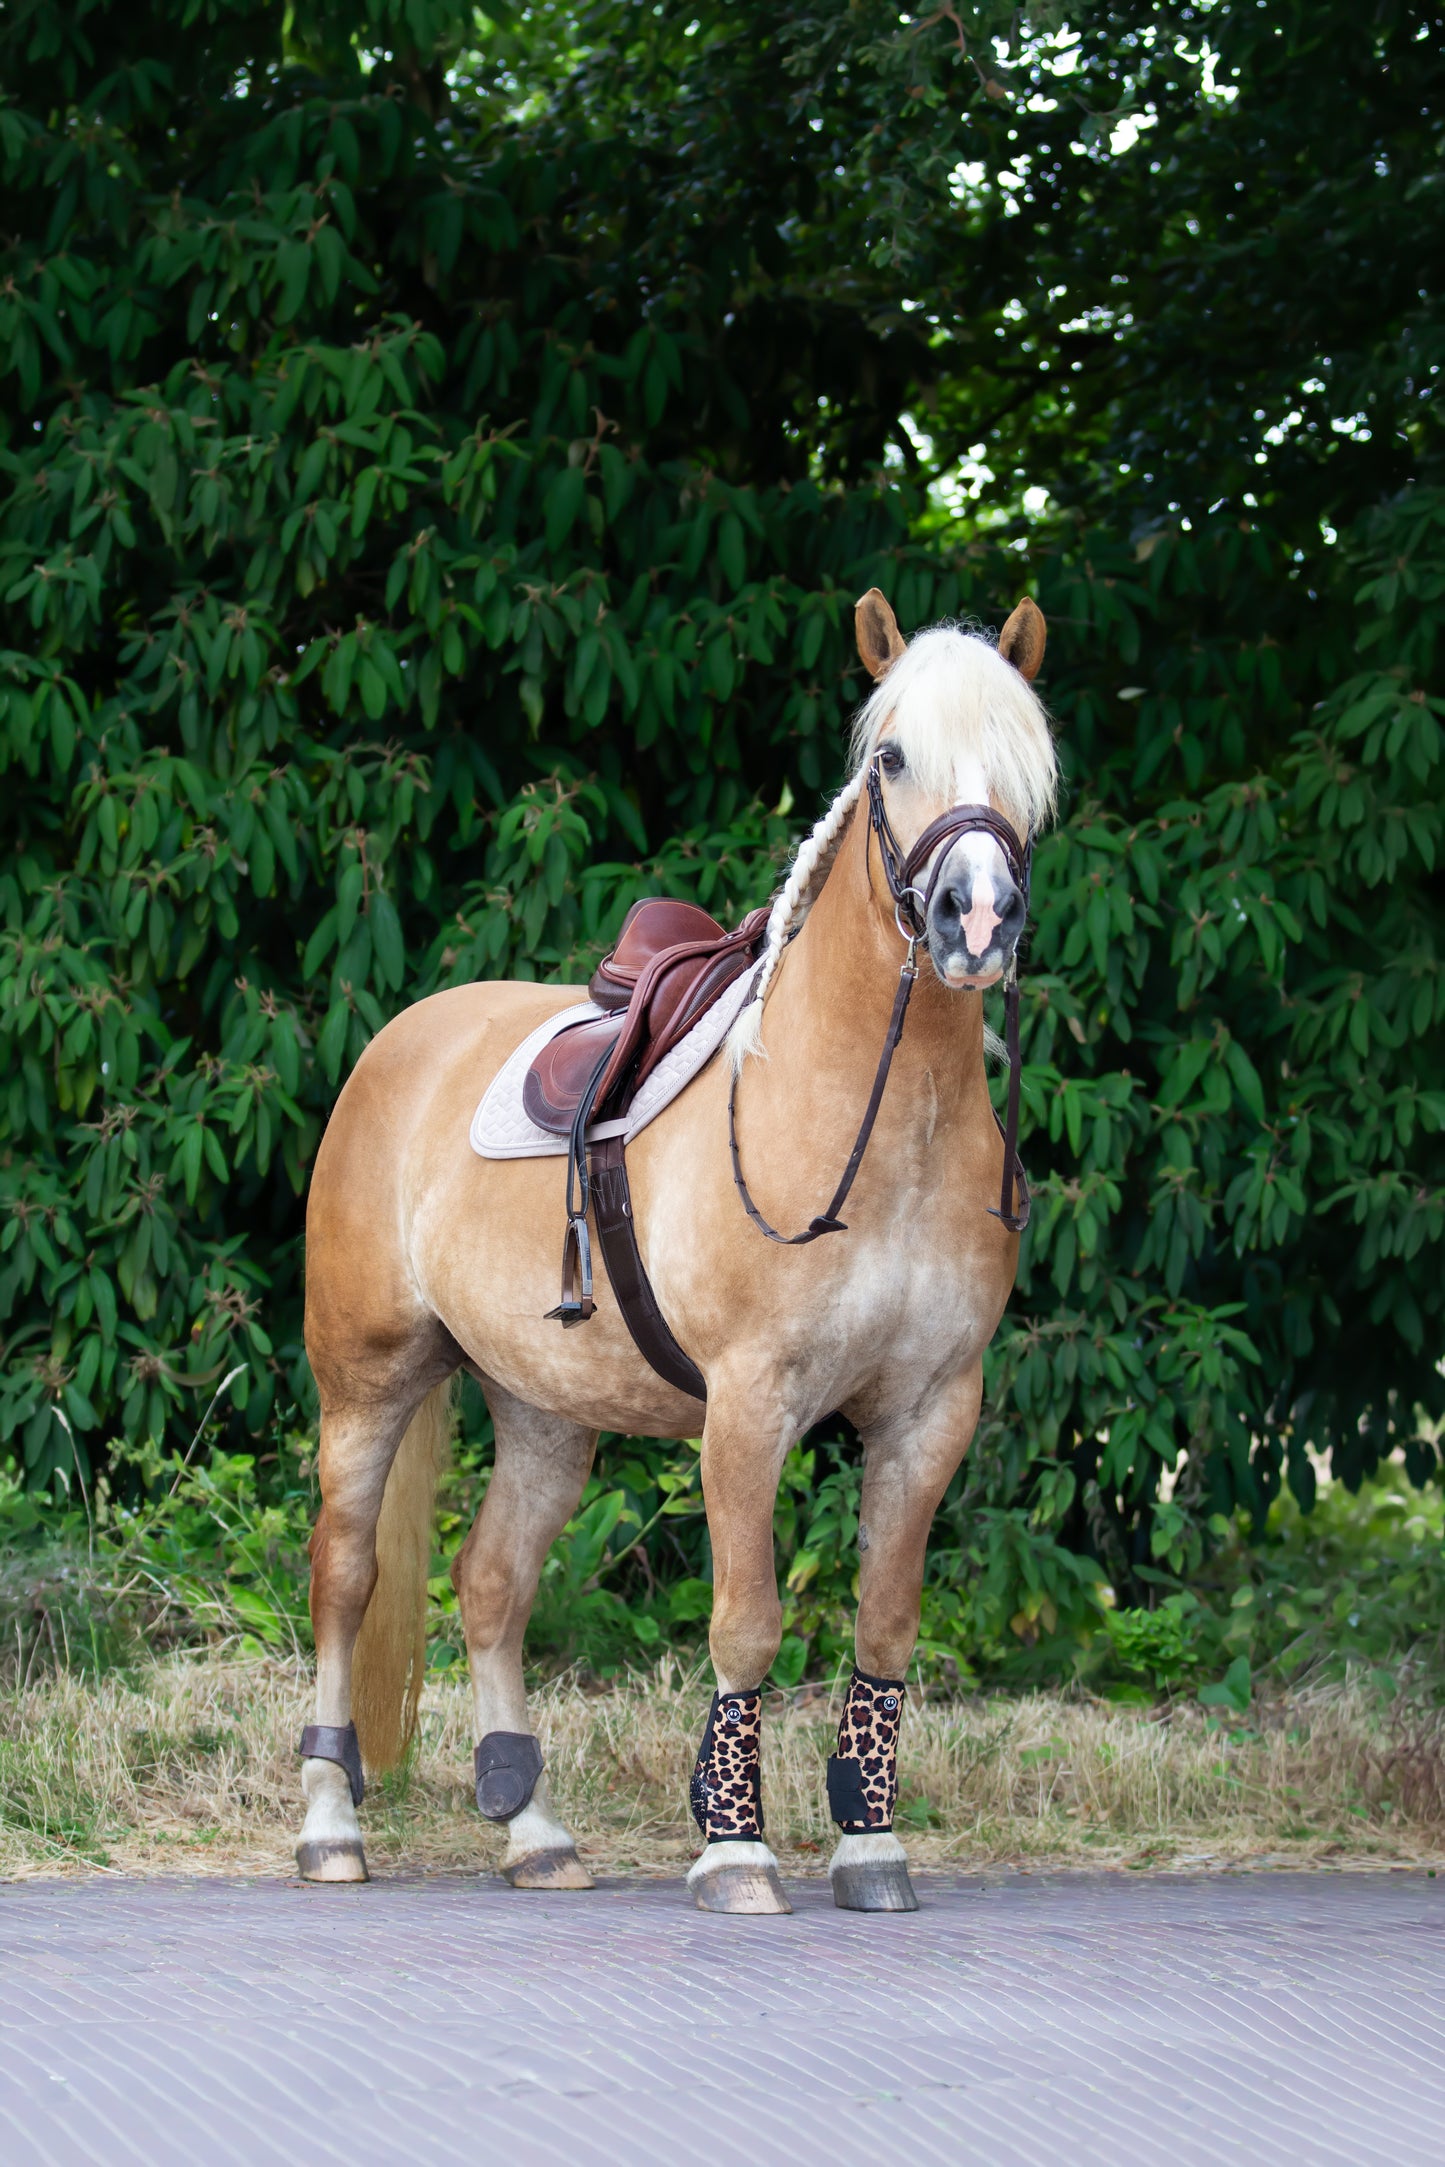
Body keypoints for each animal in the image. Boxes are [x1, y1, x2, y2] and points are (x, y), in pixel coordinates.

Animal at [296, 586, 1056, 1914]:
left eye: (1028, 759)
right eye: (889, 757)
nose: (976, 917)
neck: (873, 1124)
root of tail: (398, 1042)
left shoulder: (929, 1410)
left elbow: (885, 1623)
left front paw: (869, 1843)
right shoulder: (748, 1407)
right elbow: (746, 1621)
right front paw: (735, 1846)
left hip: (544, 1408)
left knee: (491, 1584)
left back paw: (535, 1833)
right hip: (369, 1383)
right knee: (344, 1576)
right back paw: (330, 1824)